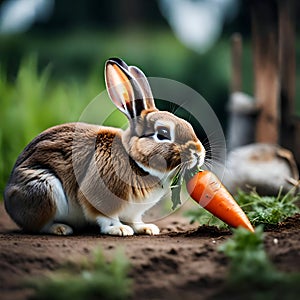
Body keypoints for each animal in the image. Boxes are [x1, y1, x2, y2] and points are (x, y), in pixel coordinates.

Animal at [4, 58, 206, 237]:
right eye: (162, 134)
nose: (198, 152)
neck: (135, 160)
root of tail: (9, 201)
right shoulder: (100, 198)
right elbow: (107, 218)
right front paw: (121, 230)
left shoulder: (134, 212)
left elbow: (135, 220)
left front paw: (147, 229)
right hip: (45, 188)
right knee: (39, 225)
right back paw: (60, 229)